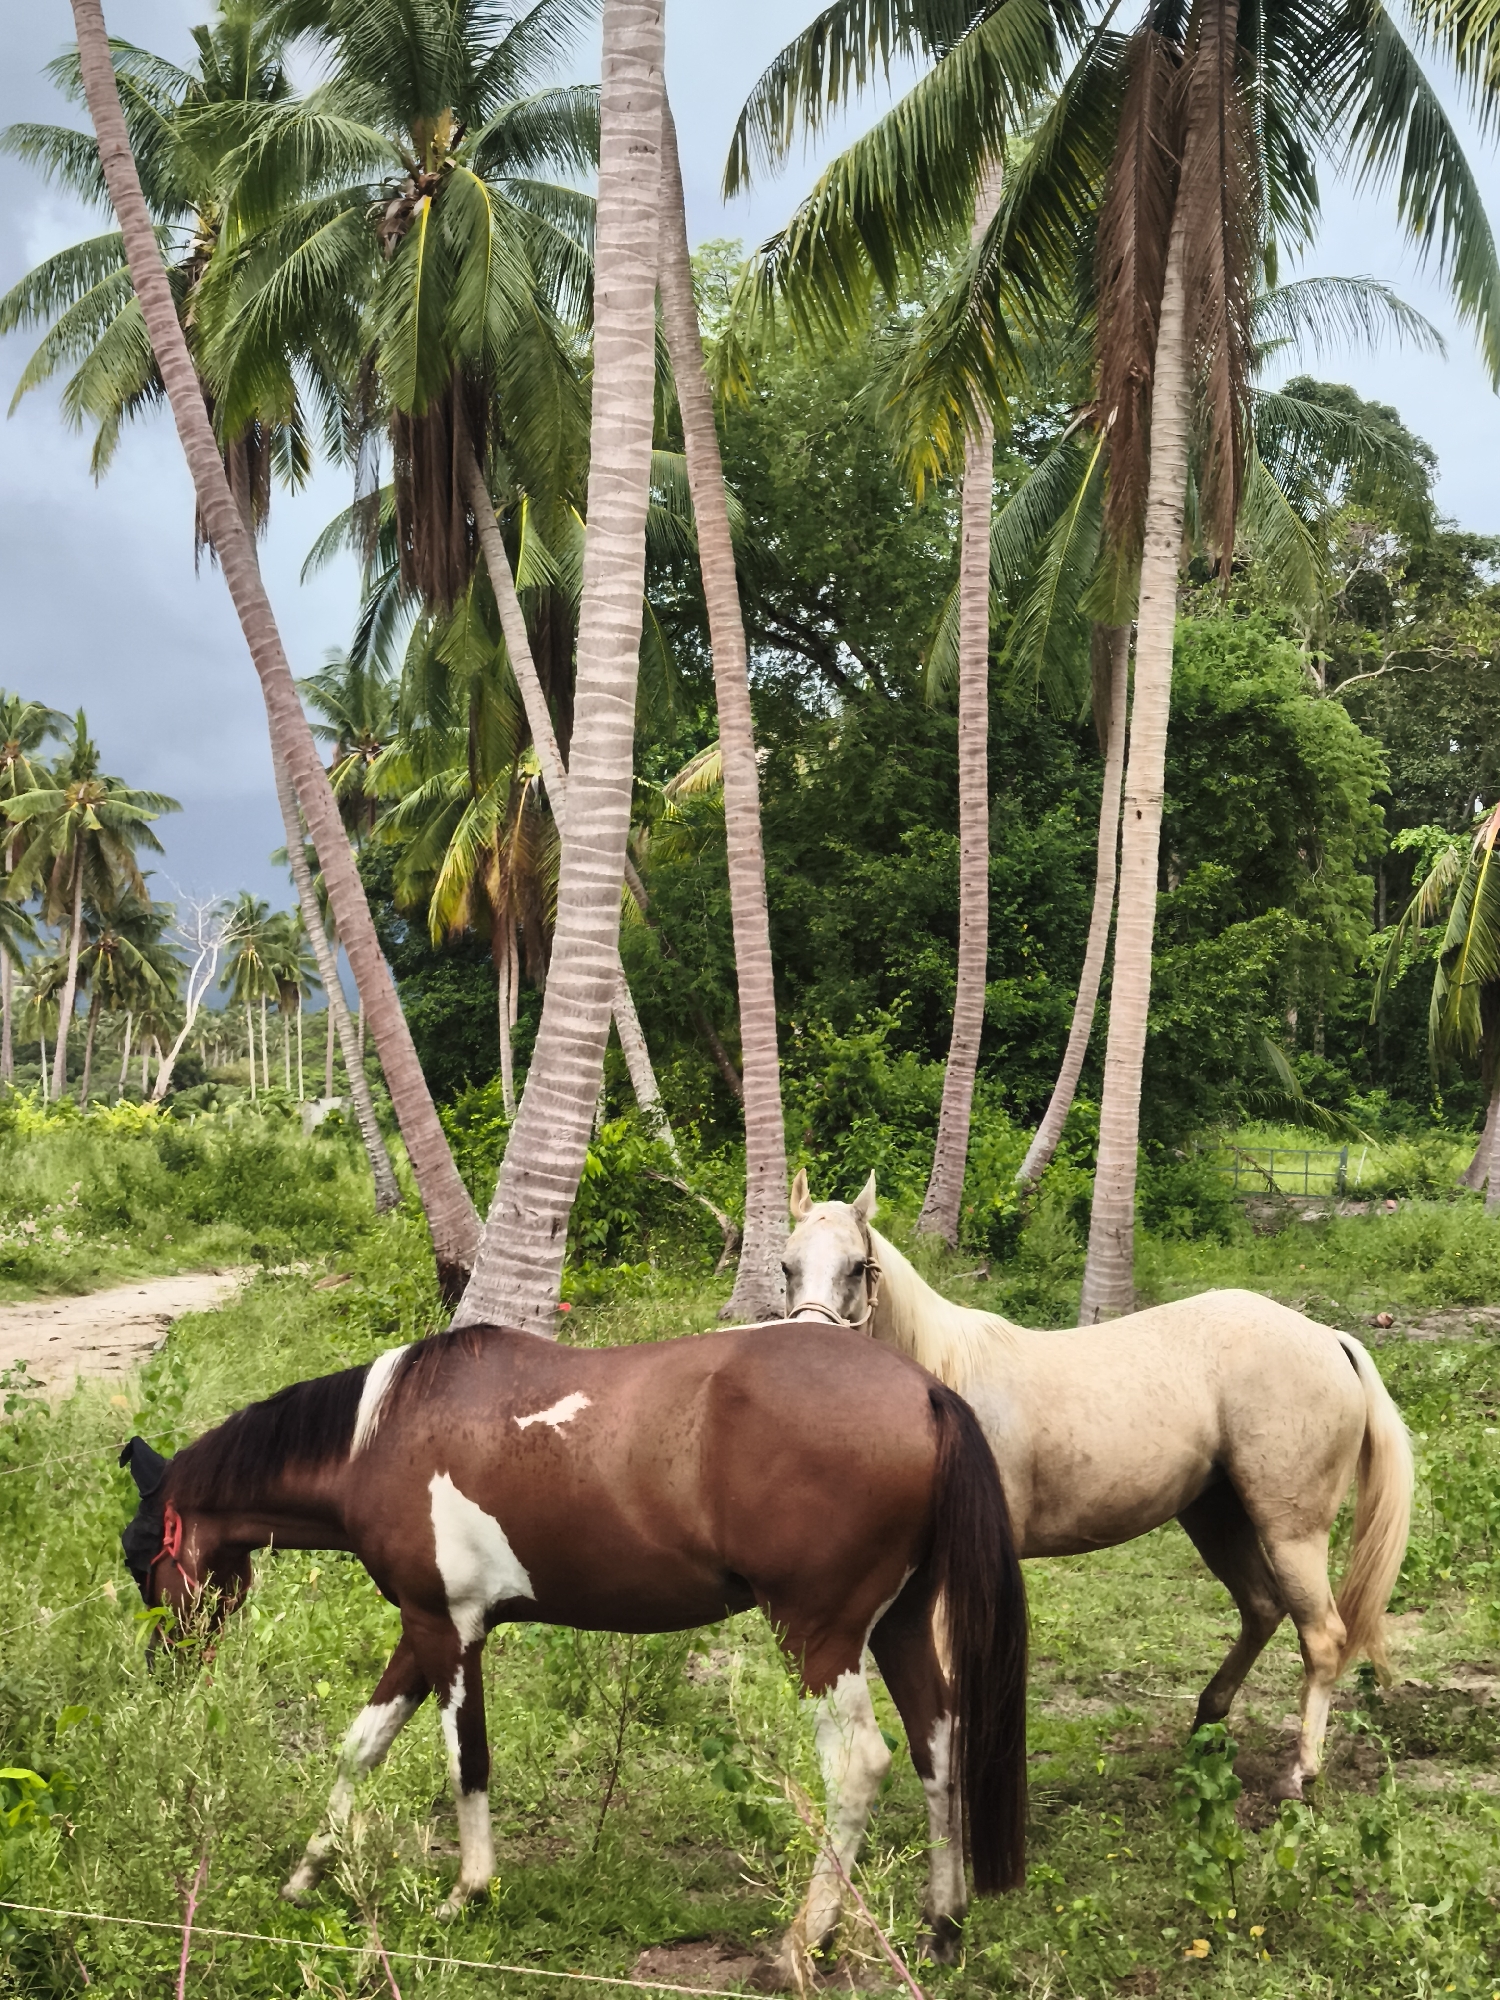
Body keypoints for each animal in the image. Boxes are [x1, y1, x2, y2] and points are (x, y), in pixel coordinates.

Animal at [118, 1316, 1028, 1977]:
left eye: (138, 1560)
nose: (165, 1673)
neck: (379, 1440)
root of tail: (924, 1392)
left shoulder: (449, 1629)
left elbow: (466, 1761)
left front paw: (465, 1893)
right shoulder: (423, 1627)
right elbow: (360, 1748)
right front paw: (309, 1873)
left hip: (818, 1636)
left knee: (858, 1766)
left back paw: (805, 1942)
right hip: (901, 1626)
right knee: (939, 1749)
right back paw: (943, 1927)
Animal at [781, 1171, 1412, 1835]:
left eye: (858, 1268)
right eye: (786, 1266)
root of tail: (1328, 1338)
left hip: (1290, 1531)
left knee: (1322, 1636)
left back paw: (1299, 1775)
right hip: (1216, 1518)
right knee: (1262, 1608)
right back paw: (1206, 1726)